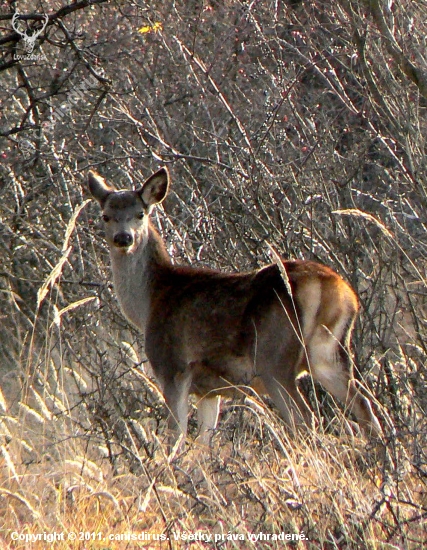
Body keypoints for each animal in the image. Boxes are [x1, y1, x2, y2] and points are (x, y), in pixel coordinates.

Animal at [87, 167, 382, 448]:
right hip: (329, 353)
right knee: (365, 407)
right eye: (105, 216)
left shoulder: (173, 368)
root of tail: (334, 288)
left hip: (274, 358)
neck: (151, 302)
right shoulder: (208, 391)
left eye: (140, 213)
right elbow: (203, 444)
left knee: (307, 419)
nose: (123, 238)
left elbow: (175, 438)